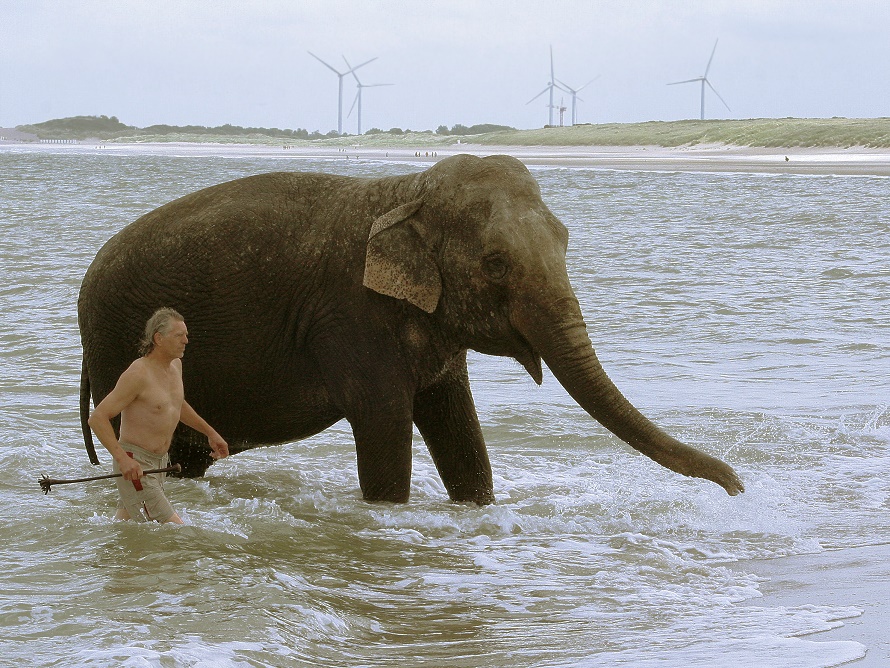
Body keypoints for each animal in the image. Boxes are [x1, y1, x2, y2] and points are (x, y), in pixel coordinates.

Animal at [78, 154, 744, 504]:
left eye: (563, 239)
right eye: (494, 263)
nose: (738, 484)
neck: (406, 189)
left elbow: (460, 431)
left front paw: (476, 507)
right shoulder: (354, 318)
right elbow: (384, 431)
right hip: (116, 345)